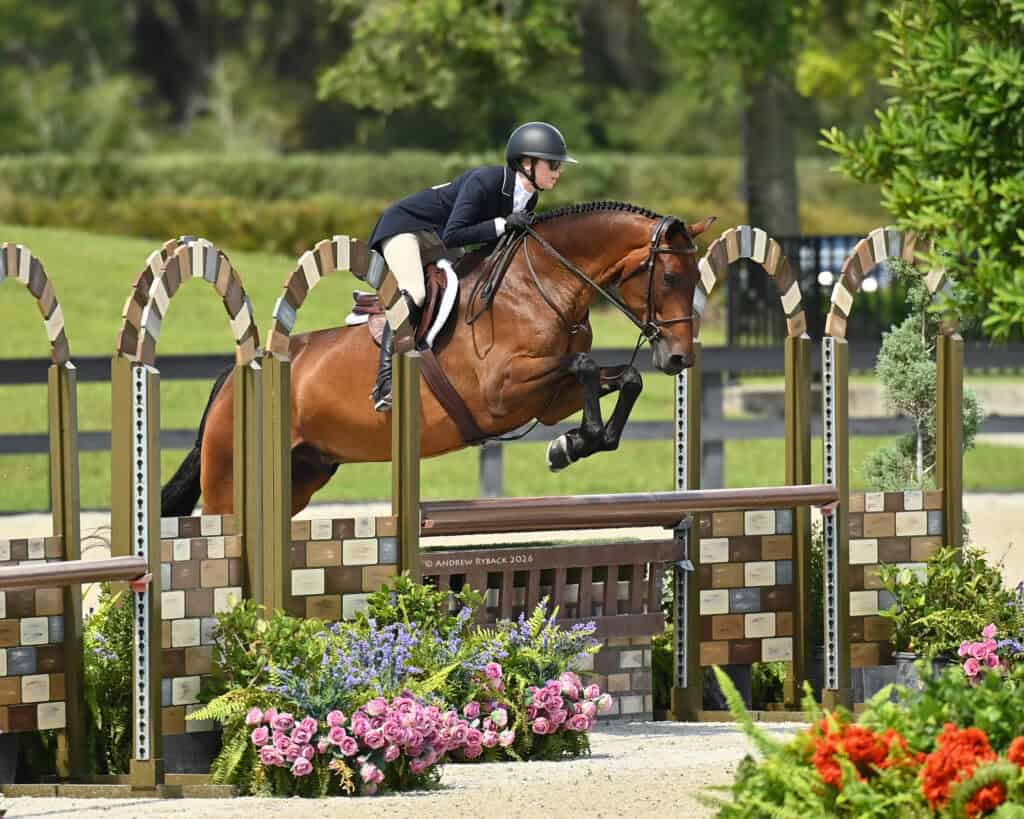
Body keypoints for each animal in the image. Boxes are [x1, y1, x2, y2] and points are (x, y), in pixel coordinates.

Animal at [162, 201, 714, 517]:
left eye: (694, 280)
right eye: (669, 278)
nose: (679, 358)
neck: (541, 285)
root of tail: (237, 376)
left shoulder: (546, 400)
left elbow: (624, 378)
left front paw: (573, 444)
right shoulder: (501, 391)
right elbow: (585, 368)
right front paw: (576, 442)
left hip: (304, 473)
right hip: (229, 483)